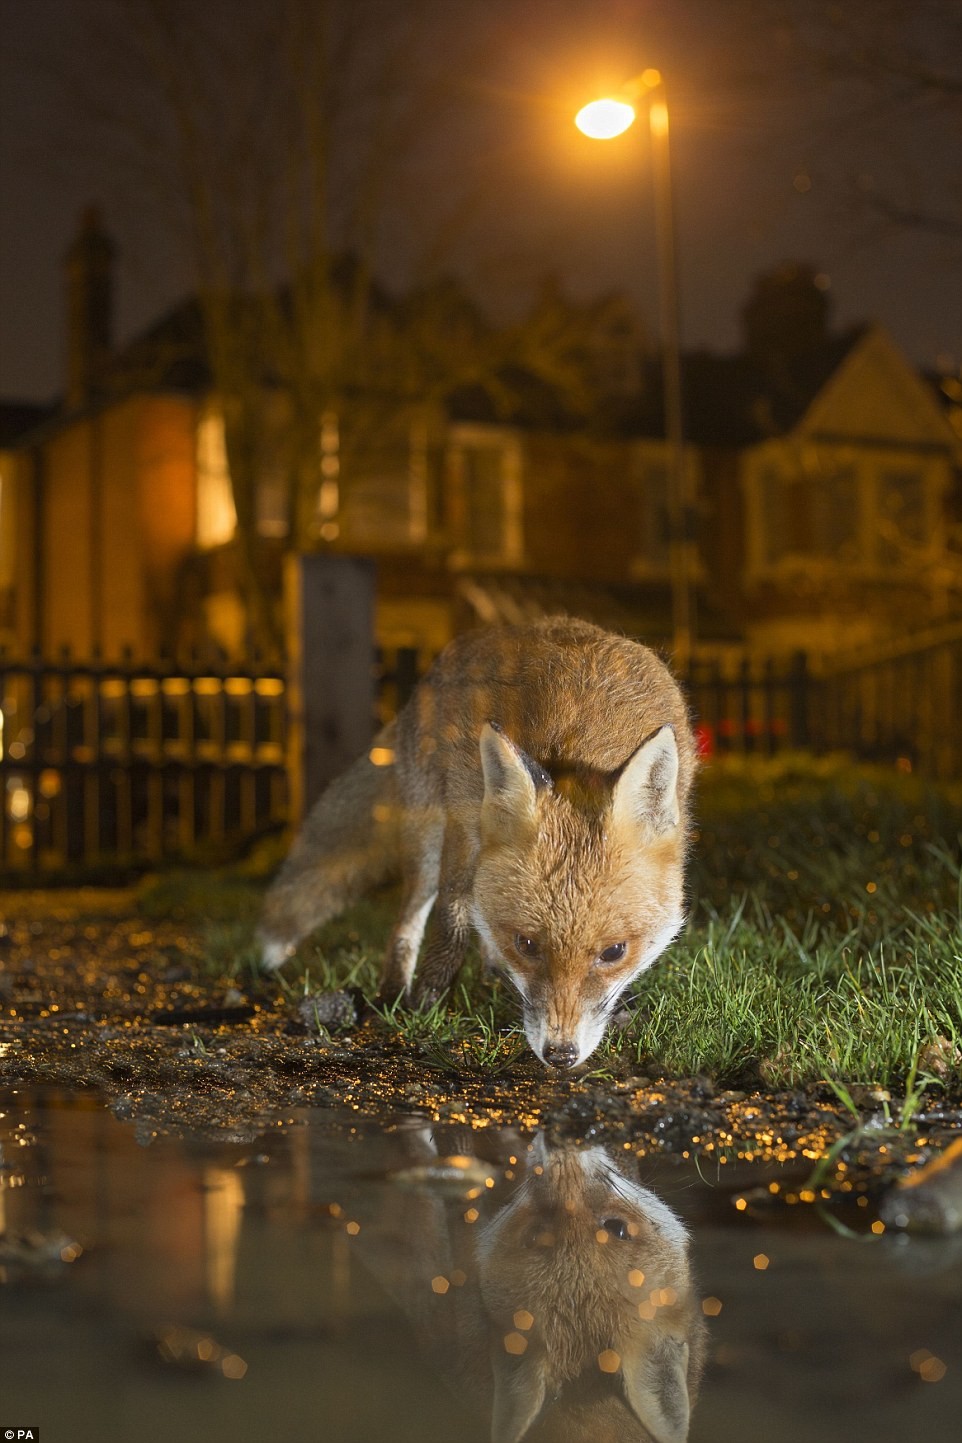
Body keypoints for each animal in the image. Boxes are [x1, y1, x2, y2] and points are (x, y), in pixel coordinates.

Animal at [259, 614, 695, 1067]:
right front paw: (428, 1002)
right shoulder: (466, 823)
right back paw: (394, 993)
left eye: (614, 952)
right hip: (427, 836)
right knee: (410, 918)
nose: (560, 1055)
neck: (579, 747)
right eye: (527, 945)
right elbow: (452, 922)